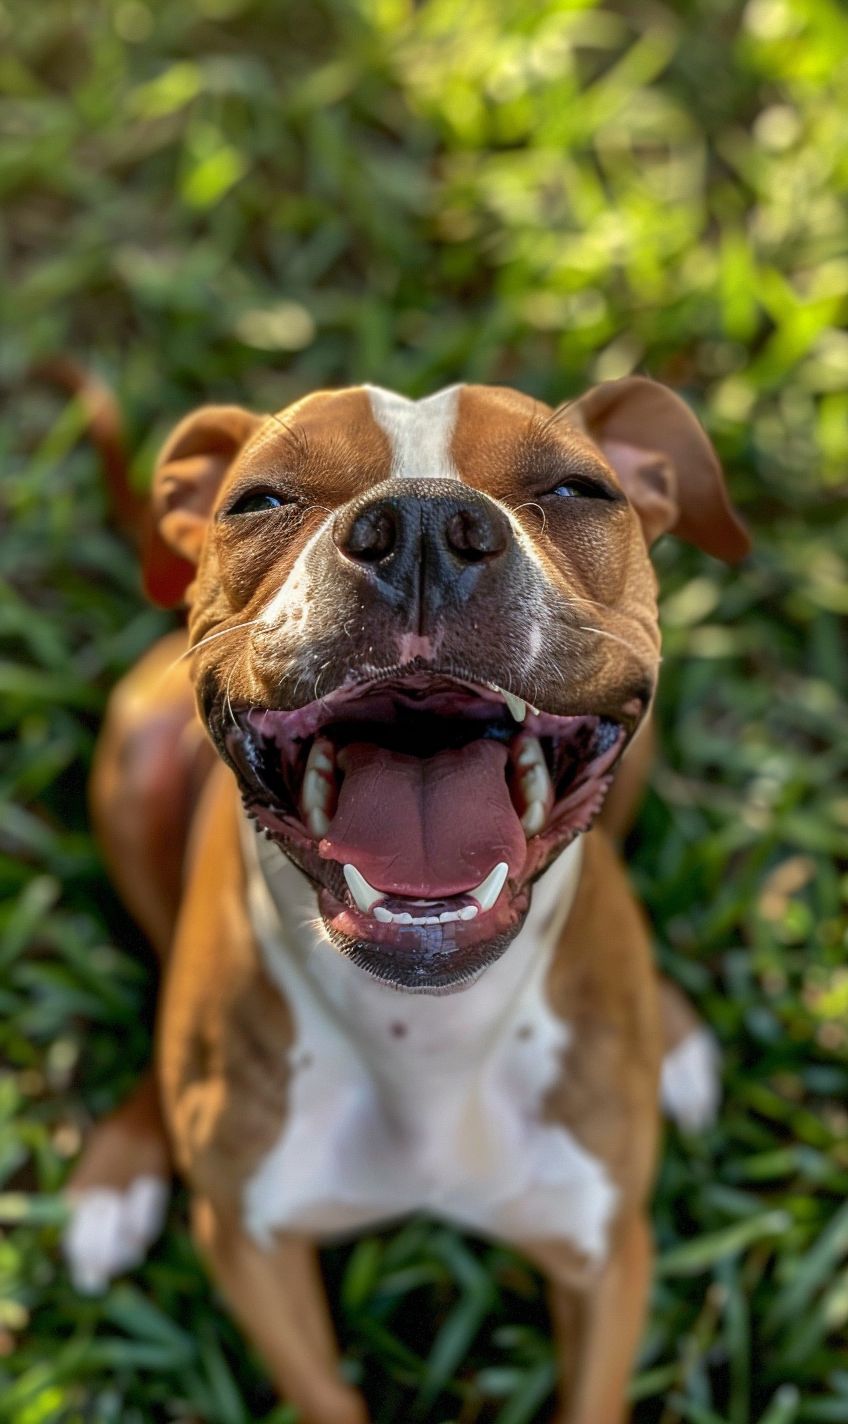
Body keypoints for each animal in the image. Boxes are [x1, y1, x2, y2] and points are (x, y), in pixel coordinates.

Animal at [64, 378, 751, 1424]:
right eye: (258, 501)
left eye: (578, 490)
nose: (423, 525)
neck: (425, 1033)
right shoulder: (252, 1251)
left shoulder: (606, 1258)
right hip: (133, 758)